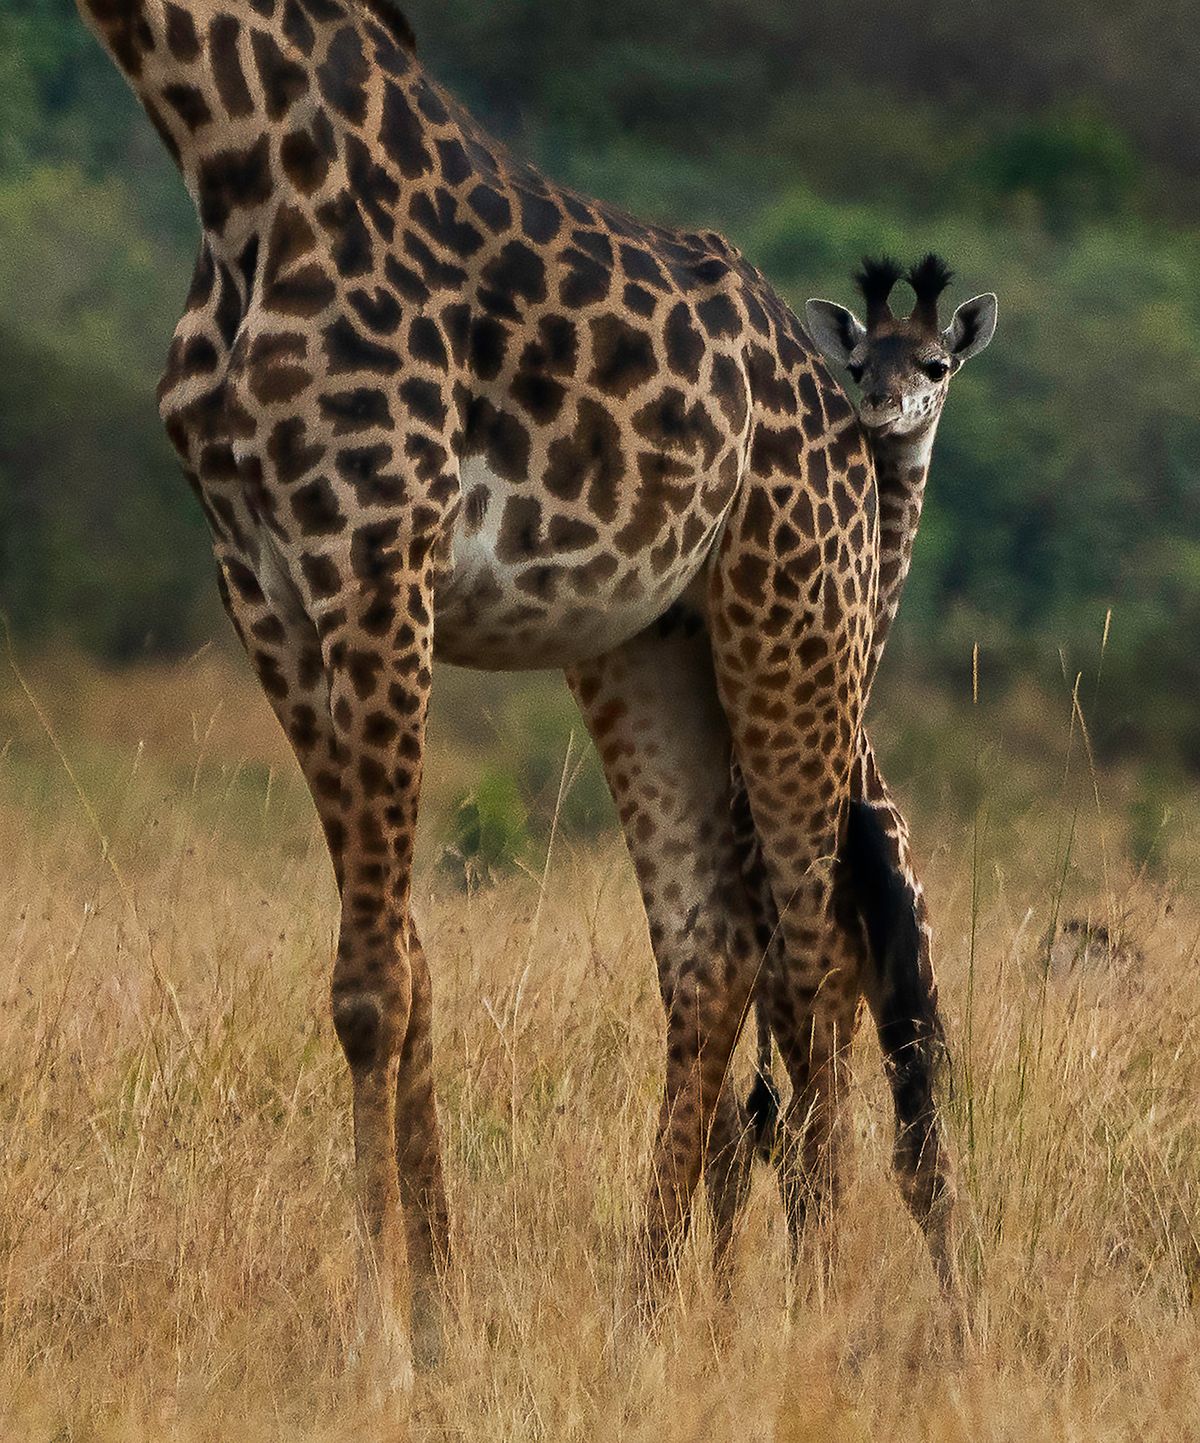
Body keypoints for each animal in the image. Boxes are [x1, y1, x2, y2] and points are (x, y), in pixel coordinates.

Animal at [75, 0, 969, 1373]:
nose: (898, 390)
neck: (230, 153)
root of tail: (837, 417)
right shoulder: (262, 583)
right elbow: (407, 960)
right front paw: (438, 1323)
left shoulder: (377, 547)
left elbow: (370, 987)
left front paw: (373, 1344)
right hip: (647, 646)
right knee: (720, 953)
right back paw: (643, 1317)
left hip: (796, 627)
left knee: (817, 967)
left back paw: (810, 1316)